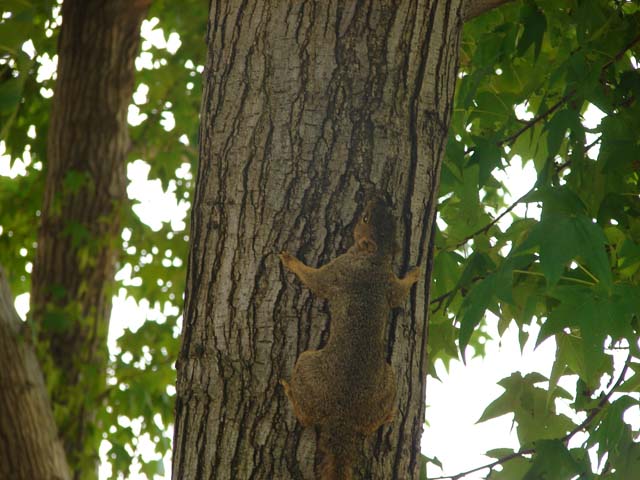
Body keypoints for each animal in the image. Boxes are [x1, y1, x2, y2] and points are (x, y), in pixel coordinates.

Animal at [279, 196, 420, 480]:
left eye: (365, 218)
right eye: (389, 218)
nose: (376, 197)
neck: (375, 258)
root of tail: (342, 416)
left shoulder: (340, 269)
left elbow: (315, 280)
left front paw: (290, 261)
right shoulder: (389, 283)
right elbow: (400, 292)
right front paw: (414, 274)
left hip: (307, 366)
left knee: (307, 418)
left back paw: (289, 391)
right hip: (387, 384)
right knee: (368, 426)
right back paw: (386, 417)